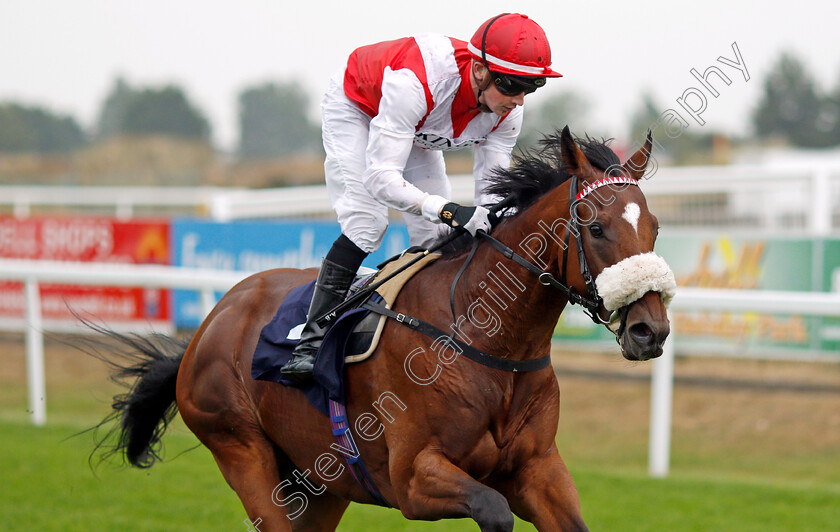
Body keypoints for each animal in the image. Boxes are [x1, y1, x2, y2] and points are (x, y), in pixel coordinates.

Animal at [93, 127, 668, 528]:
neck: (490, 340)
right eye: (596, 228)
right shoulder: (413, 478)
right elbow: (494, 509)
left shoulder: (538, 468)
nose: (651, 331)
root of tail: (209, 324)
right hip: (241, 451)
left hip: (320, 482)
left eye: (656, 227)